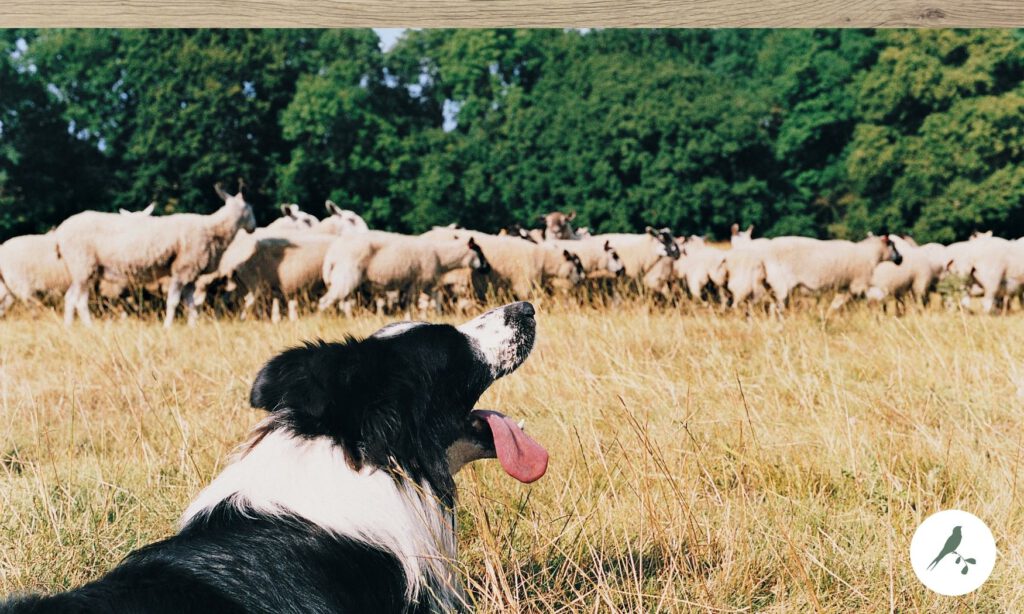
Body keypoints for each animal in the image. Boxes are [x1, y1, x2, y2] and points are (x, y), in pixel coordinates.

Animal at [56, 181, 256, 325]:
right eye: (250, 208)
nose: (253, 228)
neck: (213, 229)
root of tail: (60, 232)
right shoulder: (182, 269)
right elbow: (173, 302)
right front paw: (168, 327)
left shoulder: (190, 275)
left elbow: (191, 304)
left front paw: (192, 326)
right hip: (83, 264)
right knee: (79, 300)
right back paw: (88, 326)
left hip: (82, 269)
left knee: (69, 297)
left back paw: (68, 327)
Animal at [319, 230, 491, 317]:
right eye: (479, 250)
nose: (488, 268)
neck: (441, 256)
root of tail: (331, 255)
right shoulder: (417, 283)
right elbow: (413, 305)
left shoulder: (423, 284)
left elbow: (435, 297)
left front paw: (437, 314)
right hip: (345, 279)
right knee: (324, 302)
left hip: (344, 282)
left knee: (345, 304)